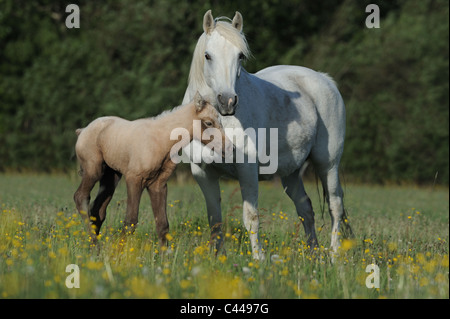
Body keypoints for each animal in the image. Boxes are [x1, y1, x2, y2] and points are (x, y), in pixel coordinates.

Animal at [74, 93, 230, 248]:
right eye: (209, 123)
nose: (230, 148)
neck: (161, 141)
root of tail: (83, 130)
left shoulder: (158, 184)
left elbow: (162, 224)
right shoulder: (134, 179)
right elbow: (130, 221)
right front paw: (120, 253)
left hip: (111, 177)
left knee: (97, 211)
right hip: (93, 170)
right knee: (81, 197)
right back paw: (95, 246)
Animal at [182, 10, 352, 260]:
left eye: (240, 56)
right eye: (207, 56)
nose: (227, 102)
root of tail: (324, 79)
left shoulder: (247, 170)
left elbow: (251, 217)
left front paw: (258, 259)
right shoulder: (203, 172)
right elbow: (215, 219)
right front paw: (218, 257)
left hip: (328, 164)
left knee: (335, 206)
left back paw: (334, 255)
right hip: (291, 173)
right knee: (306, 208)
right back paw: (313, 254)